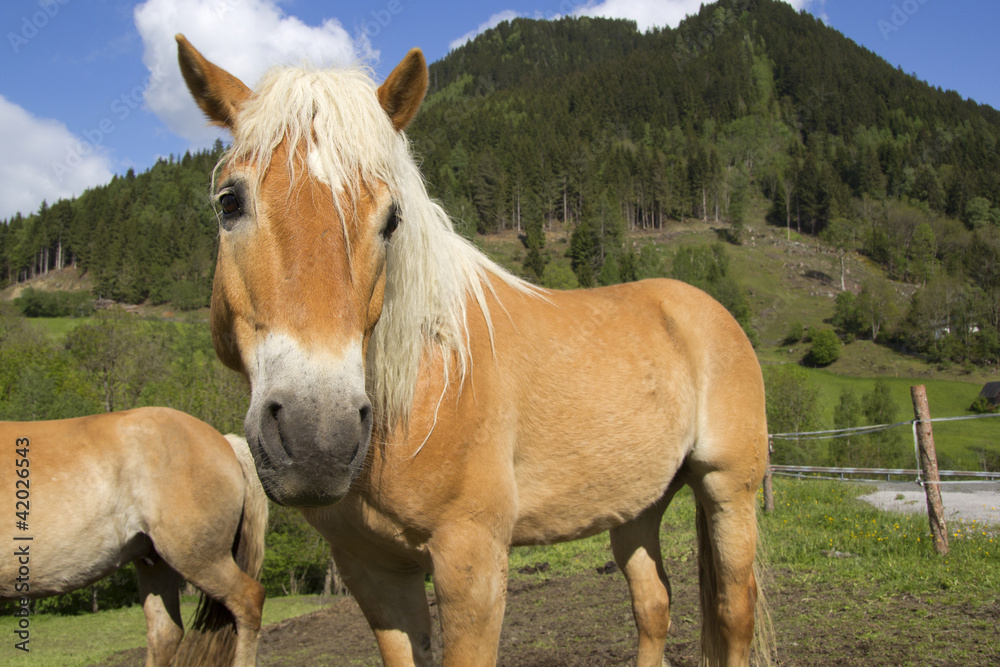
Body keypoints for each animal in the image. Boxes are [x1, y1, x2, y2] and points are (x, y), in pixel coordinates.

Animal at [176, 34, 769, 667]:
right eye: (229, 202)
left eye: (391, 219)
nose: (318, 440)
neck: (424, 386)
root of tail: (707, 310)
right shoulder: (373, 571)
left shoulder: (472, 560)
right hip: (637, 507)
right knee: (653, 607)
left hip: (728, 491)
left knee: (733, 614)